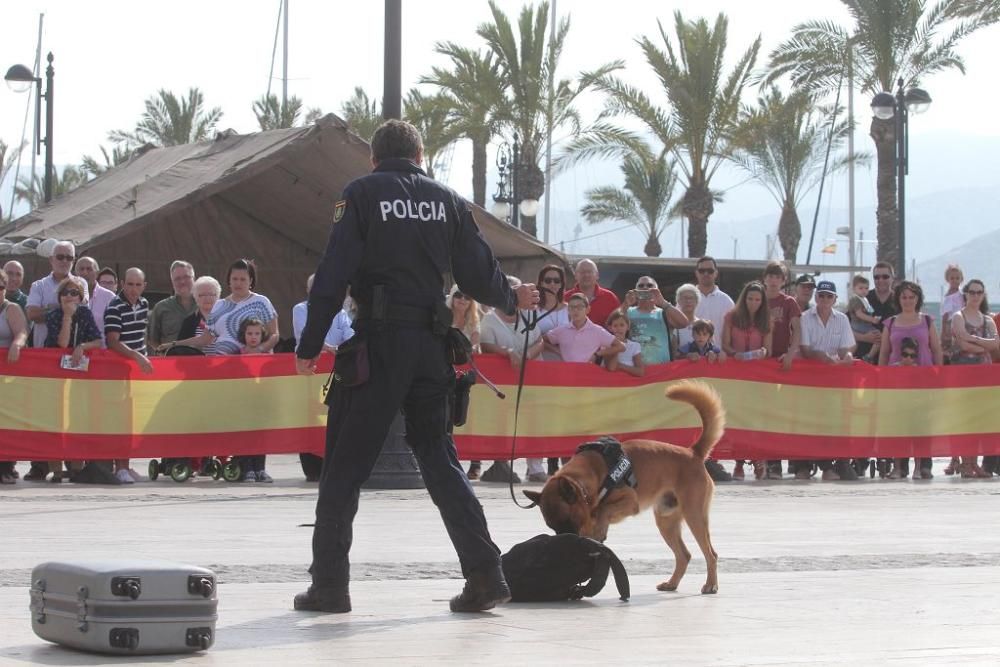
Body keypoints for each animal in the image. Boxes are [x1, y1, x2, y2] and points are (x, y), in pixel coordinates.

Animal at [524, 380, 728, 596]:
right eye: (551, 526)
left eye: (567, 521)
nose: (563, 545)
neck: (591, 474)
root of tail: (693, 453)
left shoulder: (630, 502)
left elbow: (603, 509)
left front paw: (599, 528)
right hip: (666, 521)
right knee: (684, 555)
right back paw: (672, 583)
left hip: (694, 516)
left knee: (711, 554)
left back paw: (711, 584)